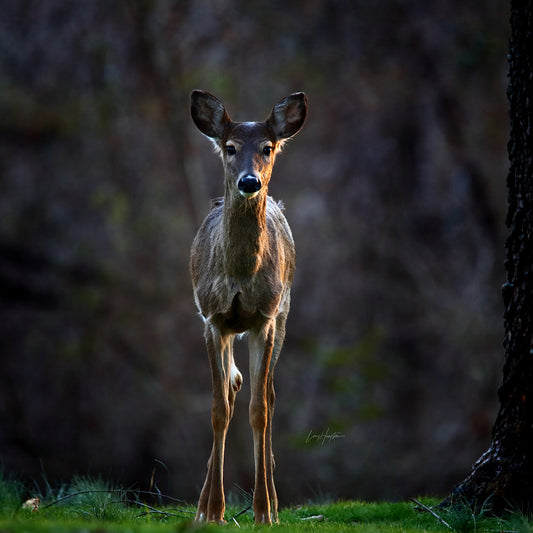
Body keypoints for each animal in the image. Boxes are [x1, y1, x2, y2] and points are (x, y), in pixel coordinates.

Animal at [188, 88, 306, 524]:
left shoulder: (264, 318)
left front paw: (263, 512)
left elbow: (260, 410)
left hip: (284, 315)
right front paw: (213, 511)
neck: (239, 272)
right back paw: (203, 504)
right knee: (233, 385)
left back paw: (271, 500)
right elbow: (218, 408)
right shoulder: (212, 317)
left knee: (267, 396)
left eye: (268, 148)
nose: (250, 181)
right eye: (230, 147)